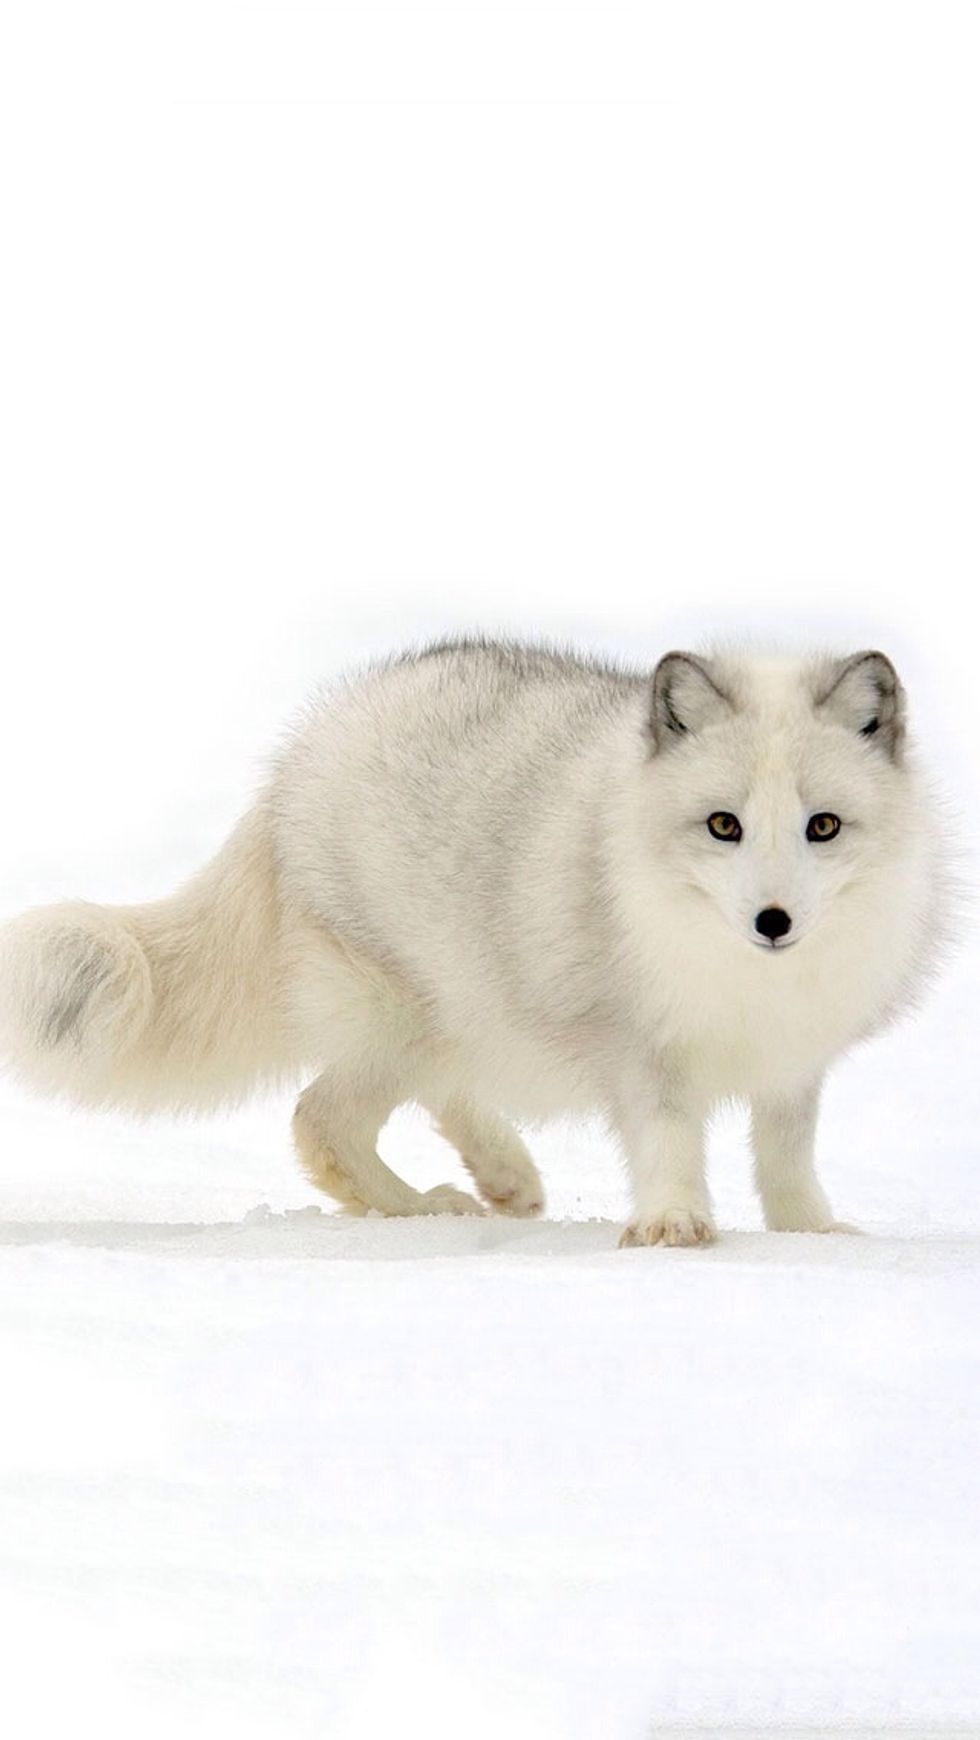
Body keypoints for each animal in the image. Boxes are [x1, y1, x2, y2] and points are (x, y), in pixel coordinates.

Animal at [0, 639, 951, 1246]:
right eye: (724, 825)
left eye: (823, 826)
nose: (774, 922)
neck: (742, 976)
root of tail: (299, 753)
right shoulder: (638, 1046)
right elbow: (670, 1139)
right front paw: (674, 1224)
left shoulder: (794, 1059)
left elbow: (787, 1156)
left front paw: (811, 1236)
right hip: (399, 1014)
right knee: (320, 1121)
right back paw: (427, 1208)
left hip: (461, 1010)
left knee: (434, 1092)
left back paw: (505, 1176)